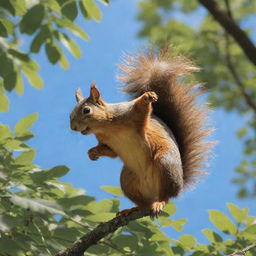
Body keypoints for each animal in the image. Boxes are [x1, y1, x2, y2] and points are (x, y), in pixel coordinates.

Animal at [69, 48, 212, 216]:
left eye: (86, 110)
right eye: (70, 115)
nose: (73, 127)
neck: (106, 128)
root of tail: (180, 183)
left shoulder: (130, 114)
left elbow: (141, 108)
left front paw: (147, 97)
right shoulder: (106, 141)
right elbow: (111, 152)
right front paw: (92, 152)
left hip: (165, 163)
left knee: (166, 195)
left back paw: (159, 202)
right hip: (127, 180)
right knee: (144, 202)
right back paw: (132, 209)